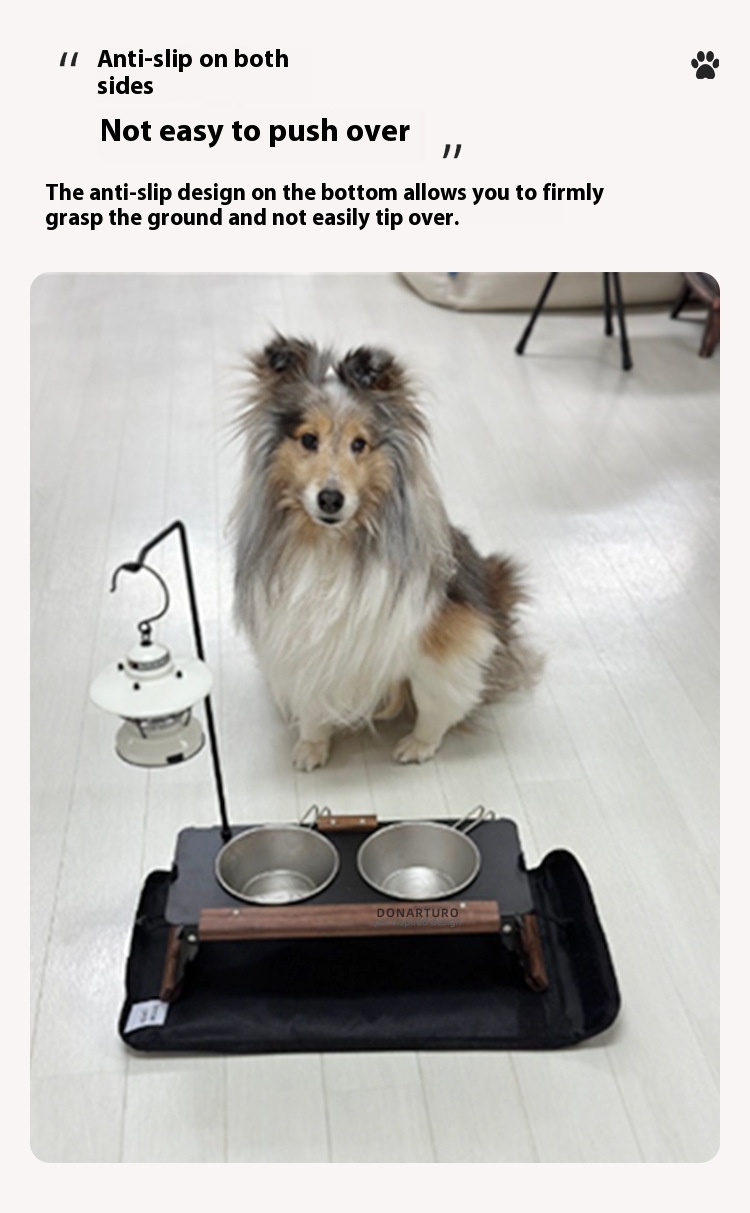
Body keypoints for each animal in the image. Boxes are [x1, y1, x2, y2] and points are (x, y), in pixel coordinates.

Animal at [231, 336, 539, 770]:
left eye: (359, 444)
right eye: (308, 440)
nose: (330, 499)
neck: (333, 545)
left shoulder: (448, 632)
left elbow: (433, 696)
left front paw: (421, 744)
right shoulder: (298, 635)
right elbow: (311, 698)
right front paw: (312, 745)